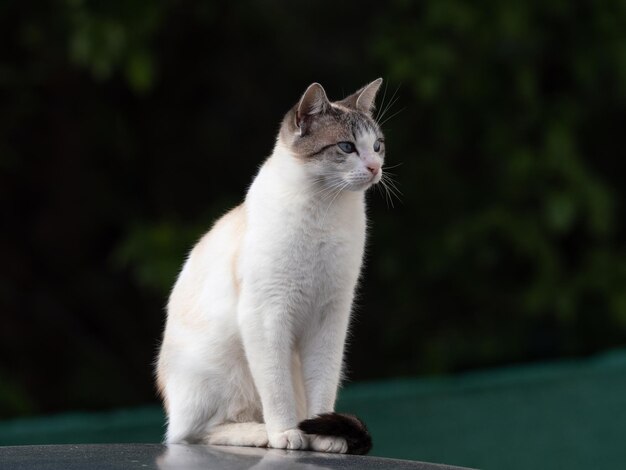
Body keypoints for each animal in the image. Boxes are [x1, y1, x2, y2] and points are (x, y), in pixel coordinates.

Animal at [156, 79, 386, 454]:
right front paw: (286, 434)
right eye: (347, 147)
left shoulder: (330, 318)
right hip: (227, 370)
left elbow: (322, 386)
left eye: (377, 146)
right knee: (195, 432)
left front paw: (323, 436)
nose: (374, 168)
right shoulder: (267, 316)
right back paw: (262, 433)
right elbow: (277, 391)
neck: (324, 211)